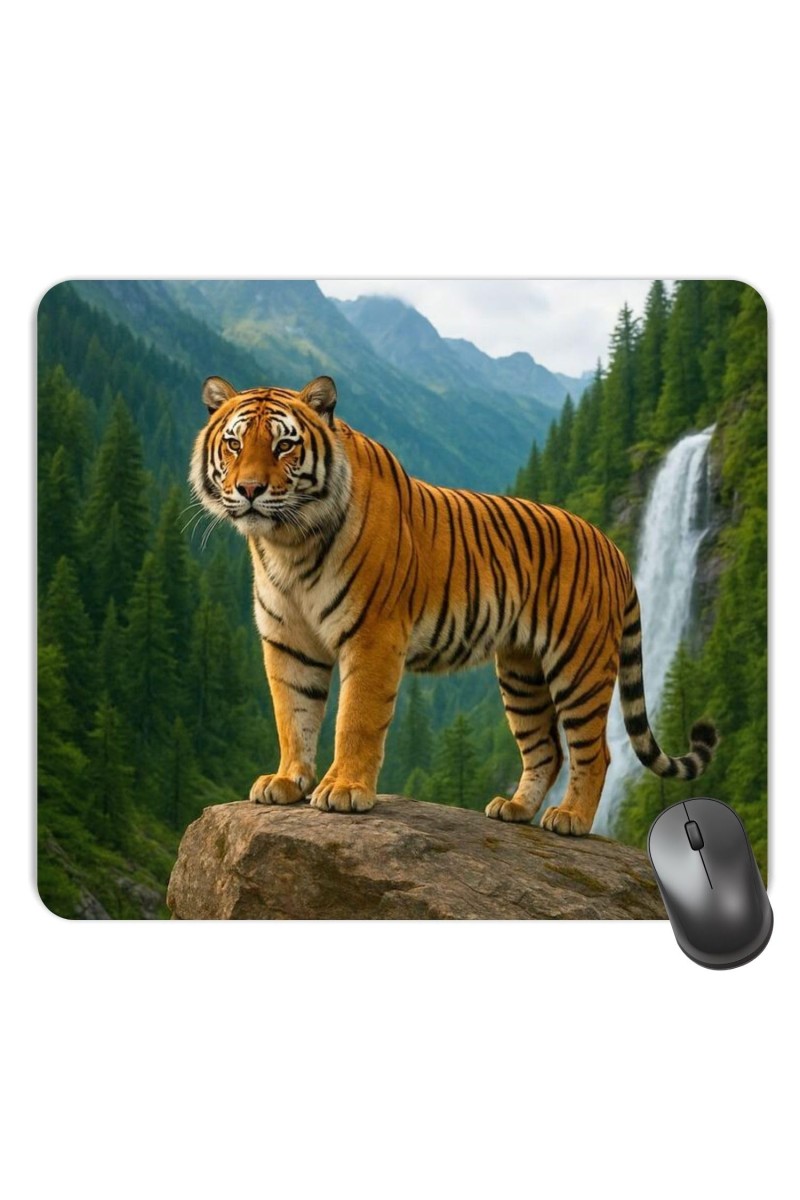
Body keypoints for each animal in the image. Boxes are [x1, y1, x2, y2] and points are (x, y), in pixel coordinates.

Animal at [190, 373, 718, 836]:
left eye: (284, 445)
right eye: (234, 444)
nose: (250, 490)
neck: (288, 543)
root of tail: (613, 548)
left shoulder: (373, 636)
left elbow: (356, 719)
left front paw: (344, 789)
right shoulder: (288, 640)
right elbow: (293, 715)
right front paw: (286, 781)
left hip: (579, 665)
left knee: (595, 752)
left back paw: (570, 819)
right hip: (522, 672)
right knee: (546, 748)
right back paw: (515, 809)